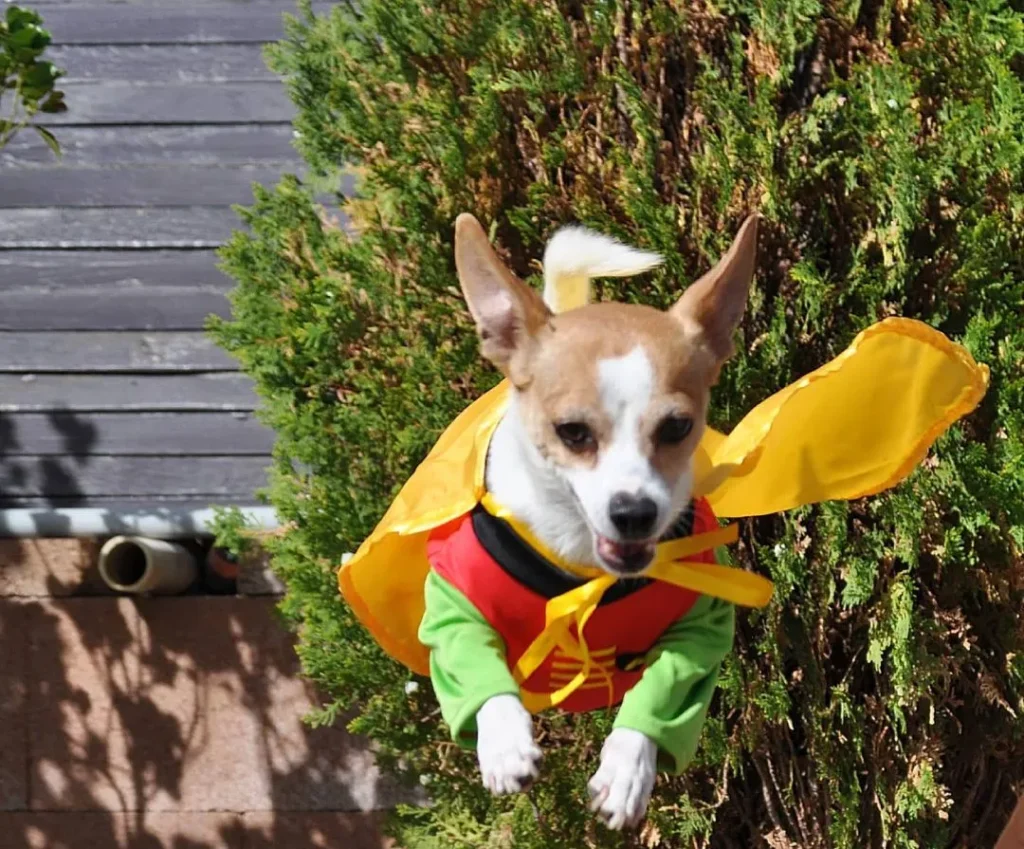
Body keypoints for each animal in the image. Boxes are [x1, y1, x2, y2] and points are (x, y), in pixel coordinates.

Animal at [452, 211, 757, 827]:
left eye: (677, 427)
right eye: (572, 433)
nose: (634, 512)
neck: (584, 568)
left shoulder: (702, 629)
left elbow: (663, 683)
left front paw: (627, 770)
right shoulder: (451, 601)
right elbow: (472, 656)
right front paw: (503, 743)